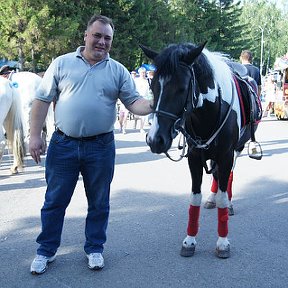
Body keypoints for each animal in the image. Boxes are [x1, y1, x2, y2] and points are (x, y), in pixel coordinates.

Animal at [141, 42, 262, 258]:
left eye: (181, 89)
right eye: (153, 86)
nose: (155, 139)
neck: (208, 113)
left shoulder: (226, 156)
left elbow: (223, 194)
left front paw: (222, 242)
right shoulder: (195, 158)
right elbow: (194, 198)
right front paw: (189, 240)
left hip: (237, 150)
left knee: (228, 177)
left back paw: (229, 203)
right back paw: (212, 199)